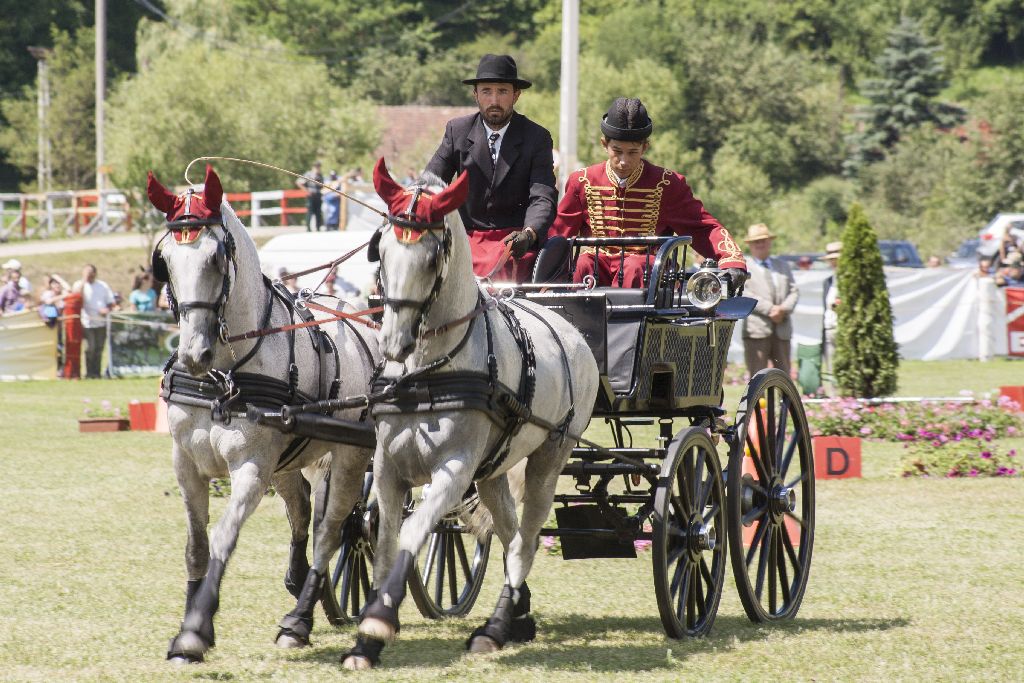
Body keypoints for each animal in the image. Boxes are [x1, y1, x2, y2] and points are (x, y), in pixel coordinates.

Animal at [146, 165, 378, 663]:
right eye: (165, 260)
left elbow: (222, 540)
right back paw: (302, 585)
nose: (193, 354)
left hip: (348, 456)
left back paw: (300, 620)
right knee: (304, 512)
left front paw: (196, 631)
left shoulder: (251, 468)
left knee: (334, 529)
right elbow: (196, 547)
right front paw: (188, 629)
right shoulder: (186, 464)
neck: (223, 375)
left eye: (217, 257)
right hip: (290, 460)